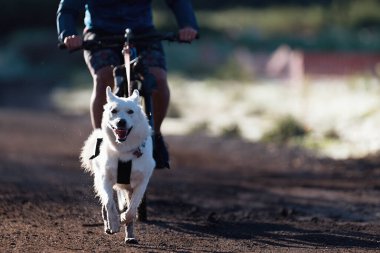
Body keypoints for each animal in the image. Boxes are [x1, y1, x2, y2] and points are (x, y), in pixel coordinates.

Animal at [81, 86, 155, 243]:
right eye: (114, 111)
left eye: (130, 111)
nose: (121, 122)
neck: (124, 151)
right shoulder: (105, 179)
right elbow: (109, 203)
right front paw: (114, 223)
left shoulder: (141, 183)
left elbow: (132, 210)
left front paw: (123, 219)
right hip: (99, 181)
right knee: (104, 205)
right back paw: (109, 226)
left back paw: (130, 236)